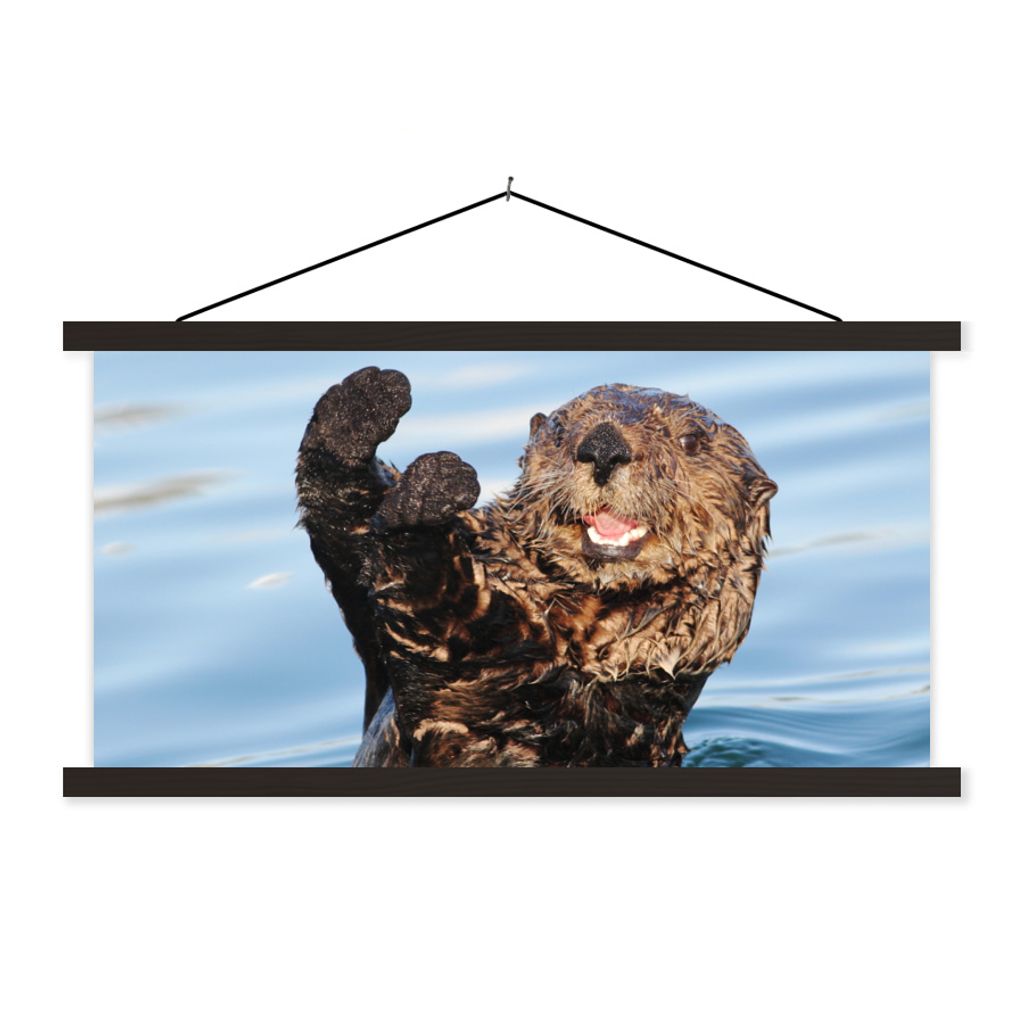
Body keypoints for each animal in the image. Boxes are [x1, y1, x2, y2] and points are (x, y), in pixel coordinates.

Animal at [296, 367, 776, 767]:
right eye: (561, 431)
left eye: (690, 442)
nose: (603, 447)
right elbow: (350, 538)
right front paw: (361, 407)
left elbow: (447, 616)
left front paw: (427, 498)